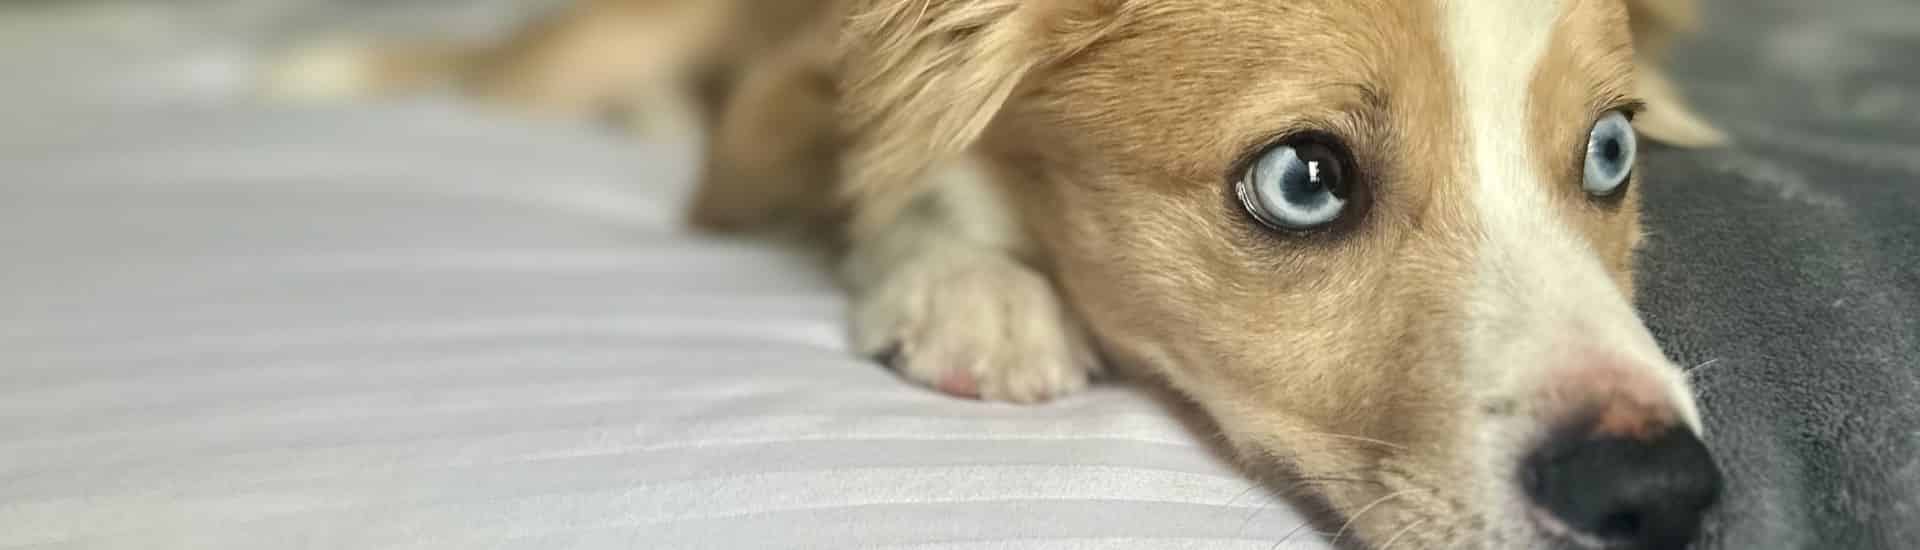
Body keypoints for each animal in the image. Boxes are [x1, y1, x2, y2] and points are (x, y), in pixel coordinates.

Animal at [278, 2, 1735, 546]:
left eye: (1611, 150)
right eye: (1305, 180)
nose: (1663, 496)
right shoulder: (775, 109)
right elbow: (901, 168)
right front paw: (974, 287)